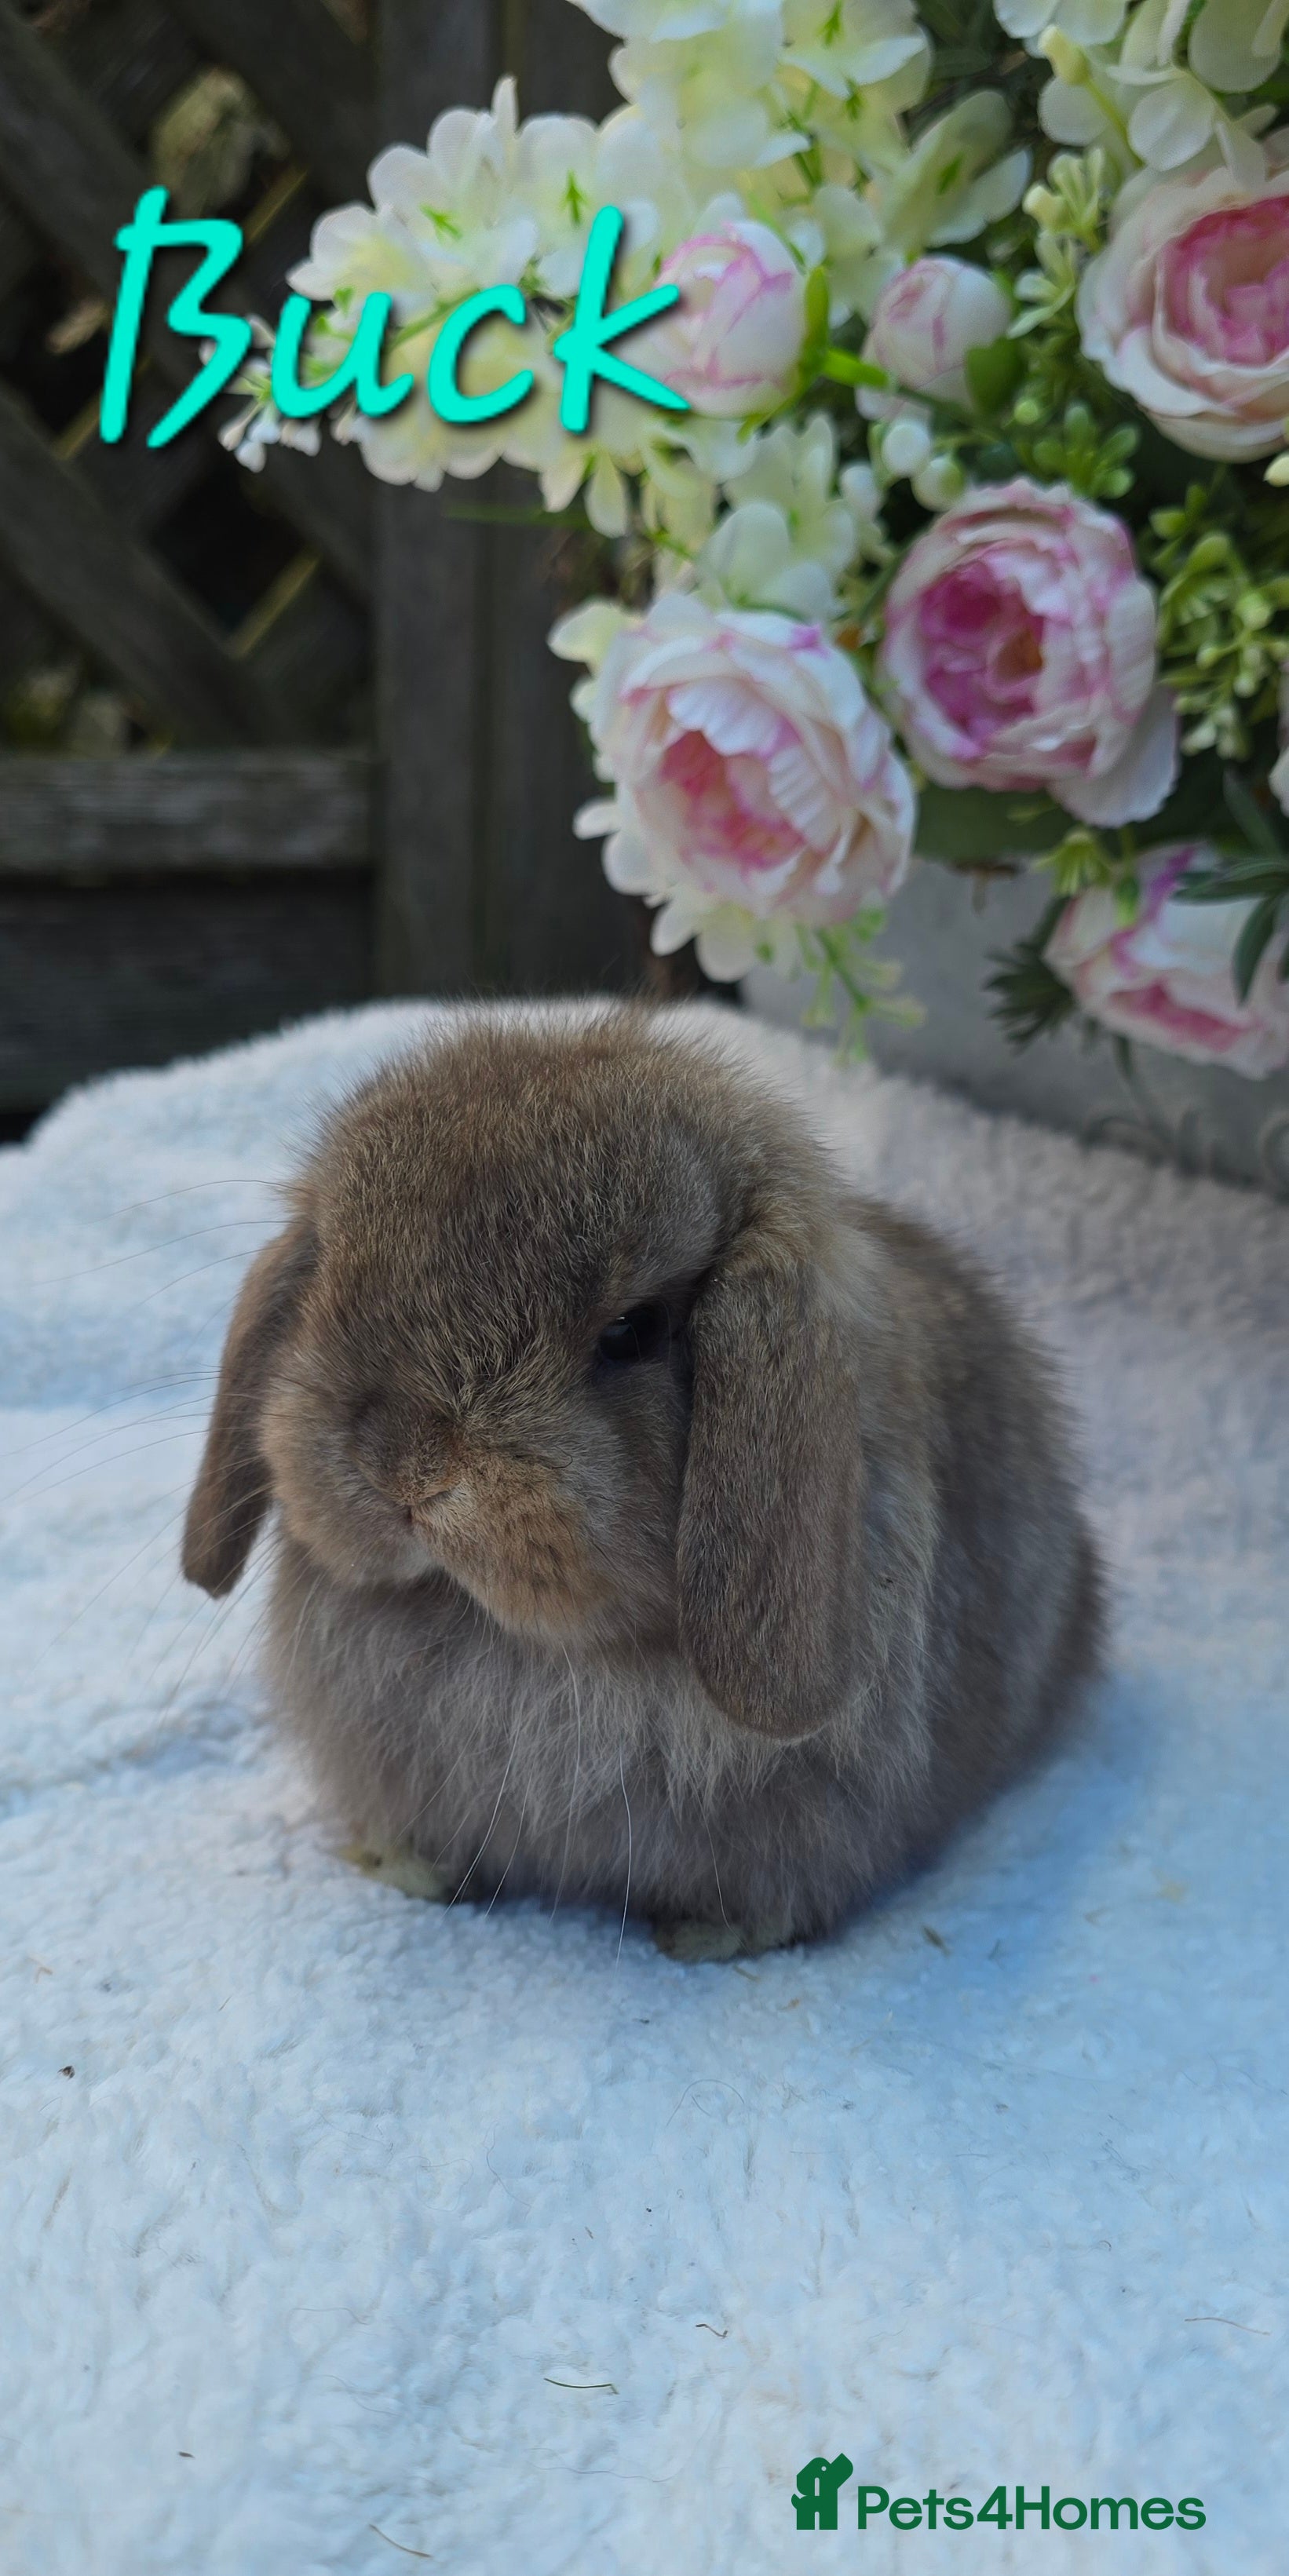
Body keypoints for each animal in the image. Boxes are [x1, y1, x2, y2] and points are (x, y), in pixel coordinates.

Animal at [182, 1004, 1103, 1959]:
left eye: (631, 1331)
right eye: (330, 1270)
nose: (403, 1466)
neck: (522, 1648)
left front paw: (707, 1938)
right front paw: (400, 1868)